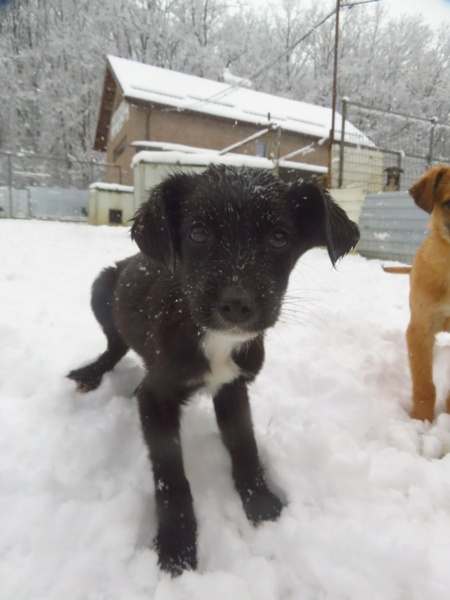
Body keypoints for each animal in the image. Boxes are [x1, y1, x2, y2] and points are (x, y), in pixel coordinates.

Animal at [67, 164, 358, 576]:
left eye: (279, 237)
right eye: (198, 233)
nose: (236, 305)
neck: (213, 339)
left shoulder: (233, 388)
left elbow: (246, 446)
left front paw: (260, 502)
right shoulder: (157, 397)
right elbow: (170, 474)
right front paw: (177, 544)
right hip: (101, 286)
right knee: (113, 347)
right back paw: (90, 374)